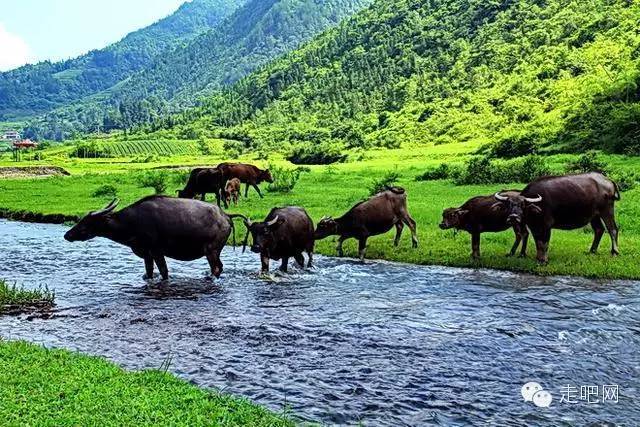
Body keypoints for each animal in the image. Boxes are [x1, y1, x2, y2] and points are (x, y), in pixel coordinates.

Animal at [64, 197, 245, 280]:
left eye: (87, 221)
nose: (67, 235)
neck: (131, 222)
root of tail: (226, 216)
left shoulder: (157, 251)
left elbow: (164, 272)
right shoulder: (147, 254)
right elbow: (149, 272)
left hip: (211, 250)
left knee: (217, 268)